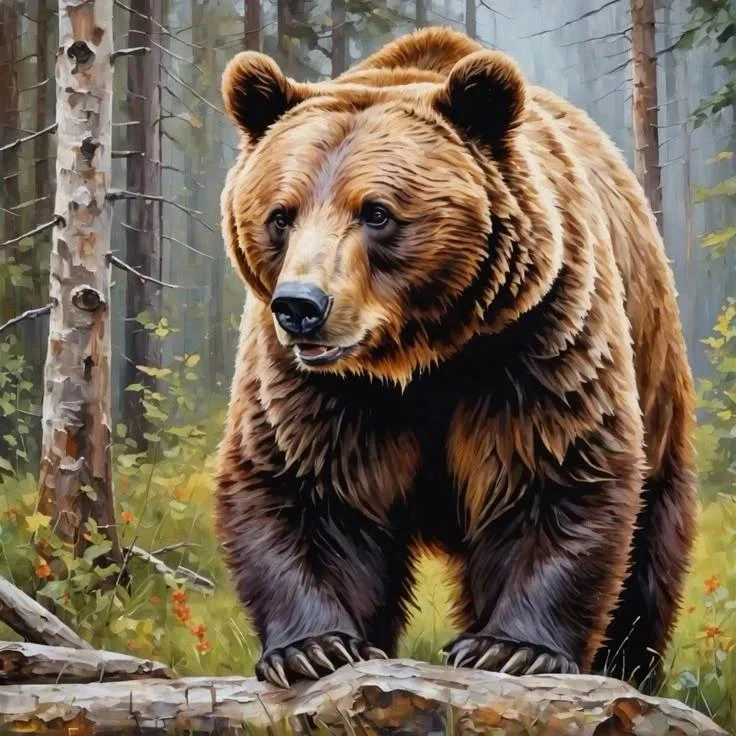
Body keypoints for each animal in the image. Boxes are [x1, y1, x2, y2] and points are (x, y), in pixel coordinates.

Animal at [215, 26, 697, 693]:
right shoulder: (316, 386)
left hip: (657, 375)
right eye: (280, 215)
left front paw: (511, 649)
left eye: (376, 212)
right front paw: (314, 648)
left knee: (649, 547)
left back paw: (629, 666)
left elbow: (552, 469)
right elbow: (305, 485)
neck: (421, 354)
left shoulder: (535, 337)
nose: (301, 306)